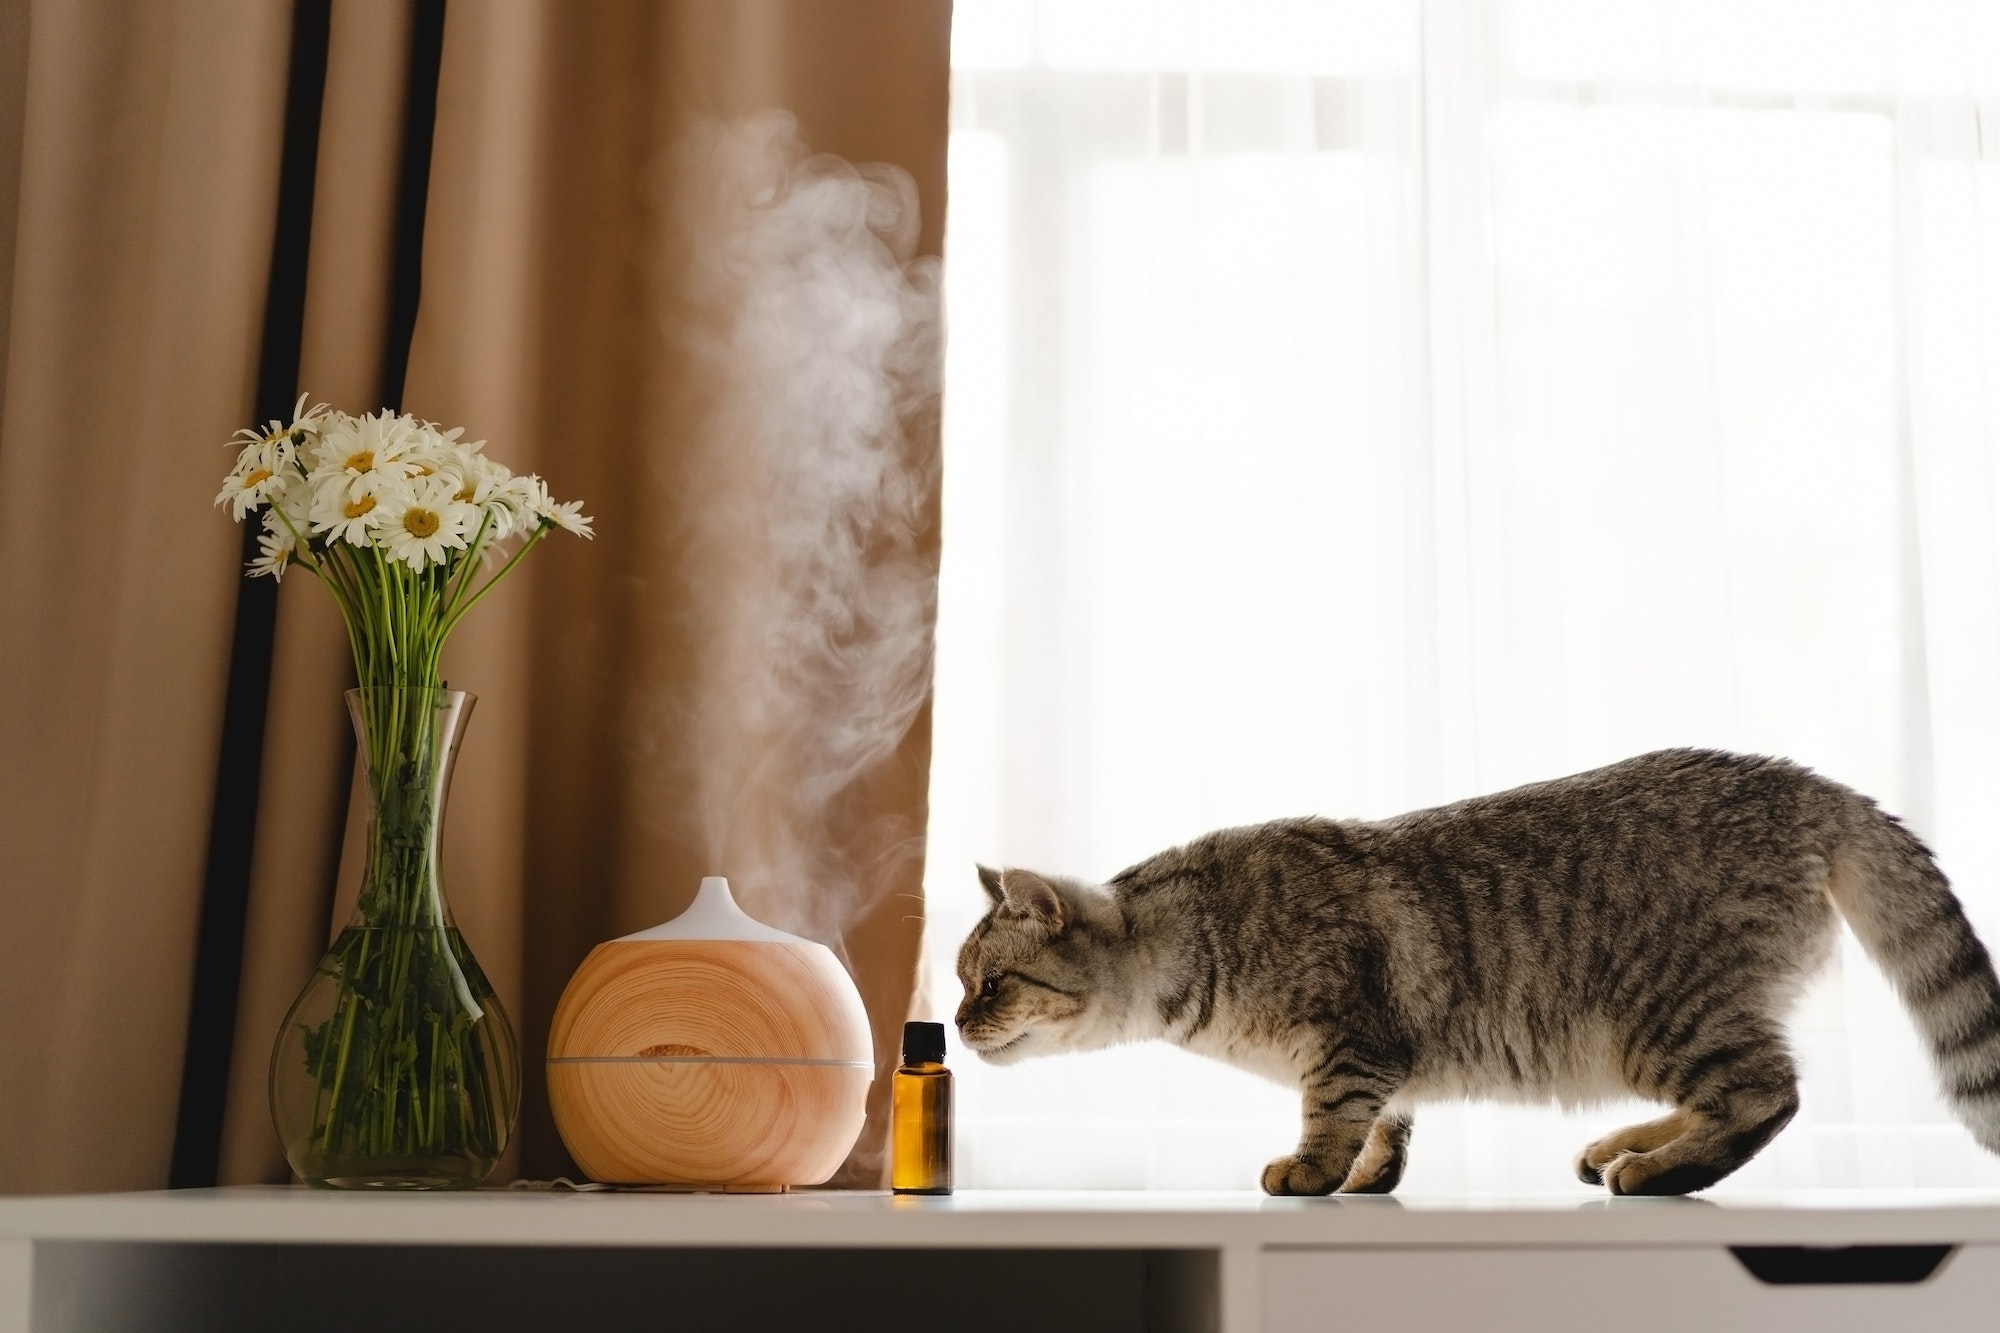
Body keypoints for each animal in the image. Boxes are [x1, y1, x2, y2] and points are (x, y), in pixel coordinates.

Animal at [948, 748, 2000, 1192]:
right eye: (960, 983)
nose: (955, 1022)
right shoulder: (1386, 1057)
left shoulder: (1349, 1036)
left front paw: (1313, 1170)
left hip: (1666, 1015)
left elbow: (1333, 1114)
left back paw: (1658, 1171)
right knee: (1736, 1095)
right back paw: (1625, 1145)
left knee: (1765, 1094)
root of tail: (1812, 783)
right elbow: (1388, 1123)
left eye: (989, 983)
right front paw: (1366, 1176)